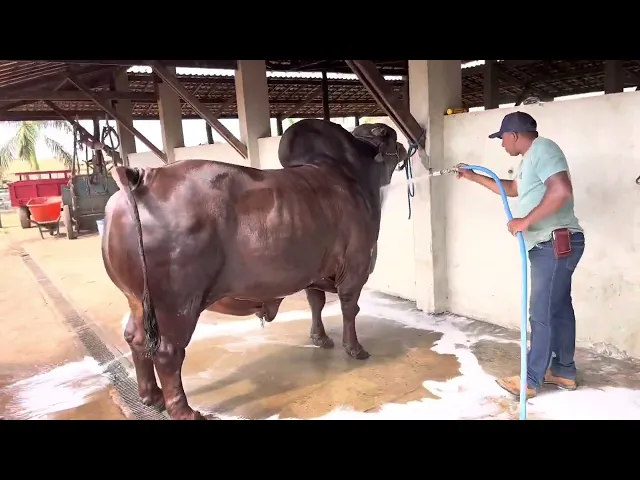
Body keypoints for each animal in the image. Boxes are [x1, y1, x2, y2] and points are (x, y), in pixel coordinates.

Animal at [102, 118, 407, 420]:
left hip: (138, 300)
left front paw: (320, 338)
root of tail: (141, 177)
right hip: (176, 304)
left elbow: (316, 302)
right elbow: (349, 308)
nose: (404, 146)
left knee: (136, 338)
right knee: (167, 352)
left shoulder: (314, 272)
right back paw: (184, 411)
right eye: (388, 135)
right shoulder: (356, 266)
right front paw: (355, 349)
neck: (352, 174)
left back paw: (151, 396)